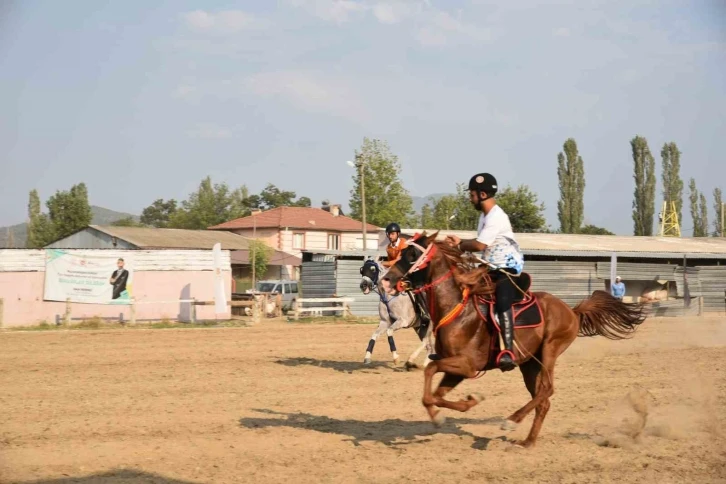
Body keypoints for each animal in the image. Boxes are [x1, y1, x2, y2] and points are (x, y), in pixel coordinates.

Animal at [384, 233, 644, 448]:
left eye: (412, 254)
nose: (386, 279)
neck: (458, 309)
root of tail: (571, 310)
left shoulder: (468, 365)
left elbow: (430, 372)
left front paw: (444, 414)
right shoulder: (456, 370)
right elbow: (436, 395)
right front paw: (464, 404)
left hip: (550, 350)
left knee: (548, 389)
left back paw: (511, 421)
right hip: (529, 364)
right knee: (543, 401)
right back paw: (528, 441)